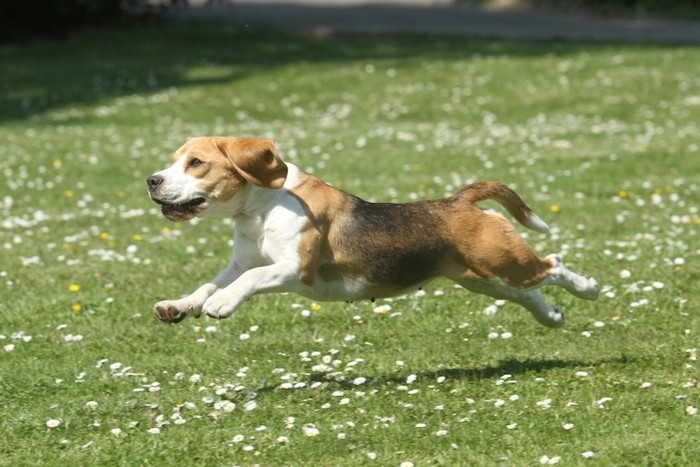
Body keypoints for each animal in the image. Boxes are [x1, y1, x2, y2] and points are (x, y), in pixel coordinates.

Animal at [145, 135, 600, 328]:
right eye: (175, 160)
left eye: (196, 163)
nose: (151, 180)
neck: (259, 208)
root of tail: (459, 201)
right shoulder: (239, 262)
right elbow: (208, 284)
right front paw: (179, 305)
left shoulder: (293, 268)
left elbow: (250, 280)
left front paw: (222, 304)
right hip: (482, 278)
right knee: (528, 292)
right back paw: (552, 316)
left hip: (502, 263)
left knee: (554, 265)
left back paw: (589, 288)